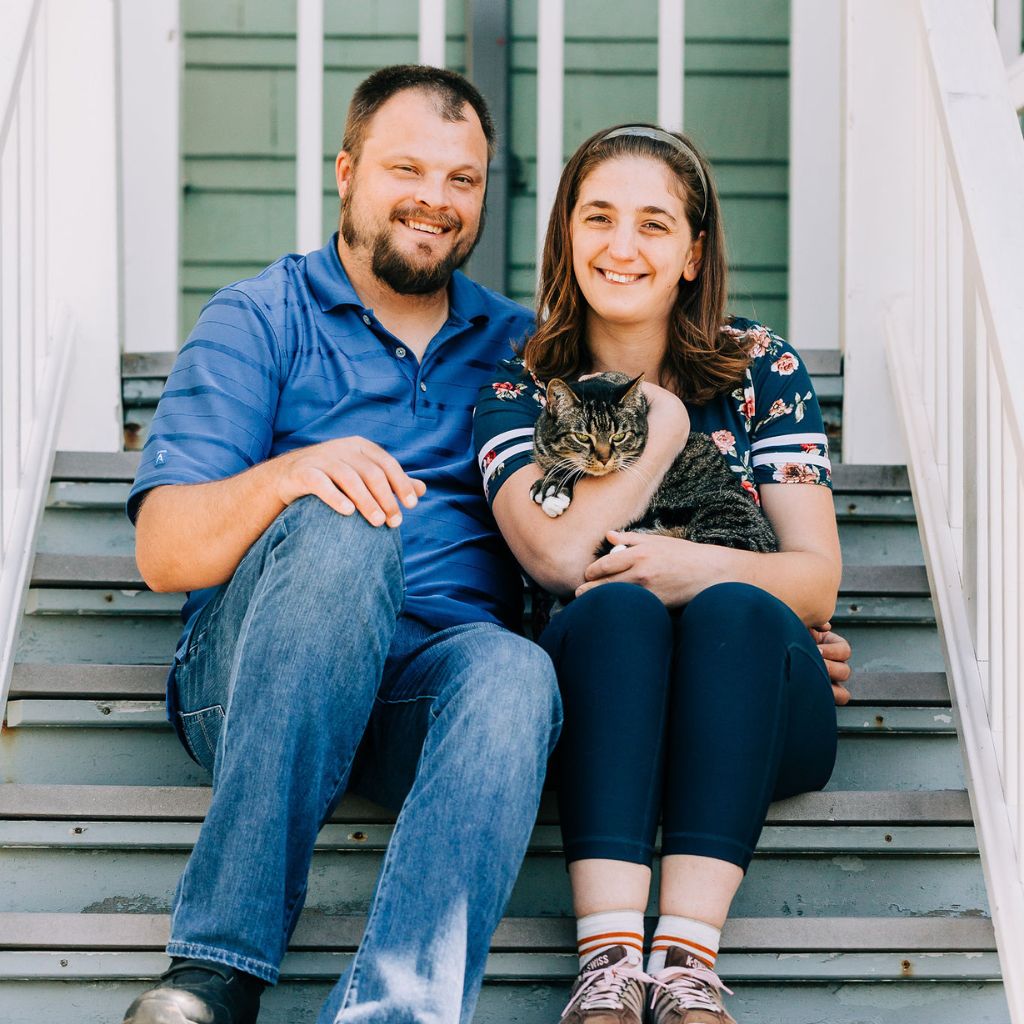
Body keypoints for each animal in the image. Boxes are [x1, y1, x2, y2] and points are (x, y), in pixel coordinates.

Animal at [532, 372, 778, 557]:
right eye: (582, 437)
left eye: (619, 436)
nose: (604, 458)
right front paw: (553, 483)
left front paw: (553, 491)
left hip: (723, 515)